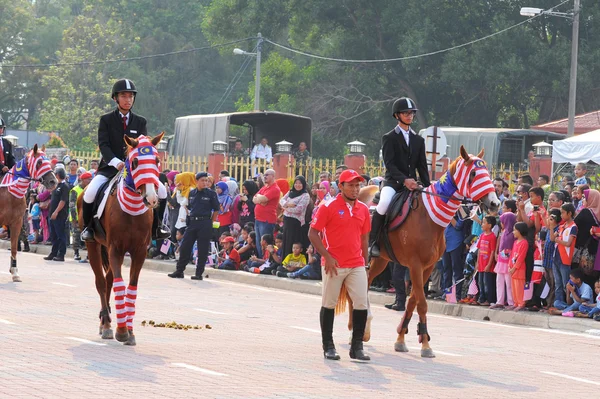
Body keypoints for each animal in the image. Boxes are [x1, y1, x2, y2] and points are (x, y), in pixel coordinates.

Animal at [0, 145, 56, 282]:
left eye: (48, 161)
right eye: (39, 162)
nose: (53, 181)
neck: (9, 193)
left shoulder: (17, 222)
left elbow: (14, 247)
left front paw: (15, 272)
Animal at [79, 133, 166, 346]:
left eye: (156, 160)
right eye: (134, 162)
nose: (152, 198)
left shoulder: (139, 251)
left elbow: (131, 287)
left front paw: (130, 330)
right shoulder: (116, 250)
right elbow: (119, 285)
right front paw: (121, 331)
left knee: (108, 280)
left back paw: (106, 322)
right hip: (94, 246)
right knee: (101, 283)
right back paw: (107, 324)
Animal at [338, 147, 502, 360]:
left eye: (487, 172)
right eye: (473, 173)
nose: (495, 203)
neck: (429, 218)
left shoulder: (428, 267)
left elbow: (413, 301)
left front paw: (402, 339)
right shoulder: (415, 265)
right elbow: (421, 303)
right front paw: (425, 345)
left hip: (380, 260)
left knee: (364, 285)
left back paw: (363, 330)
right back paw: (354, 332)